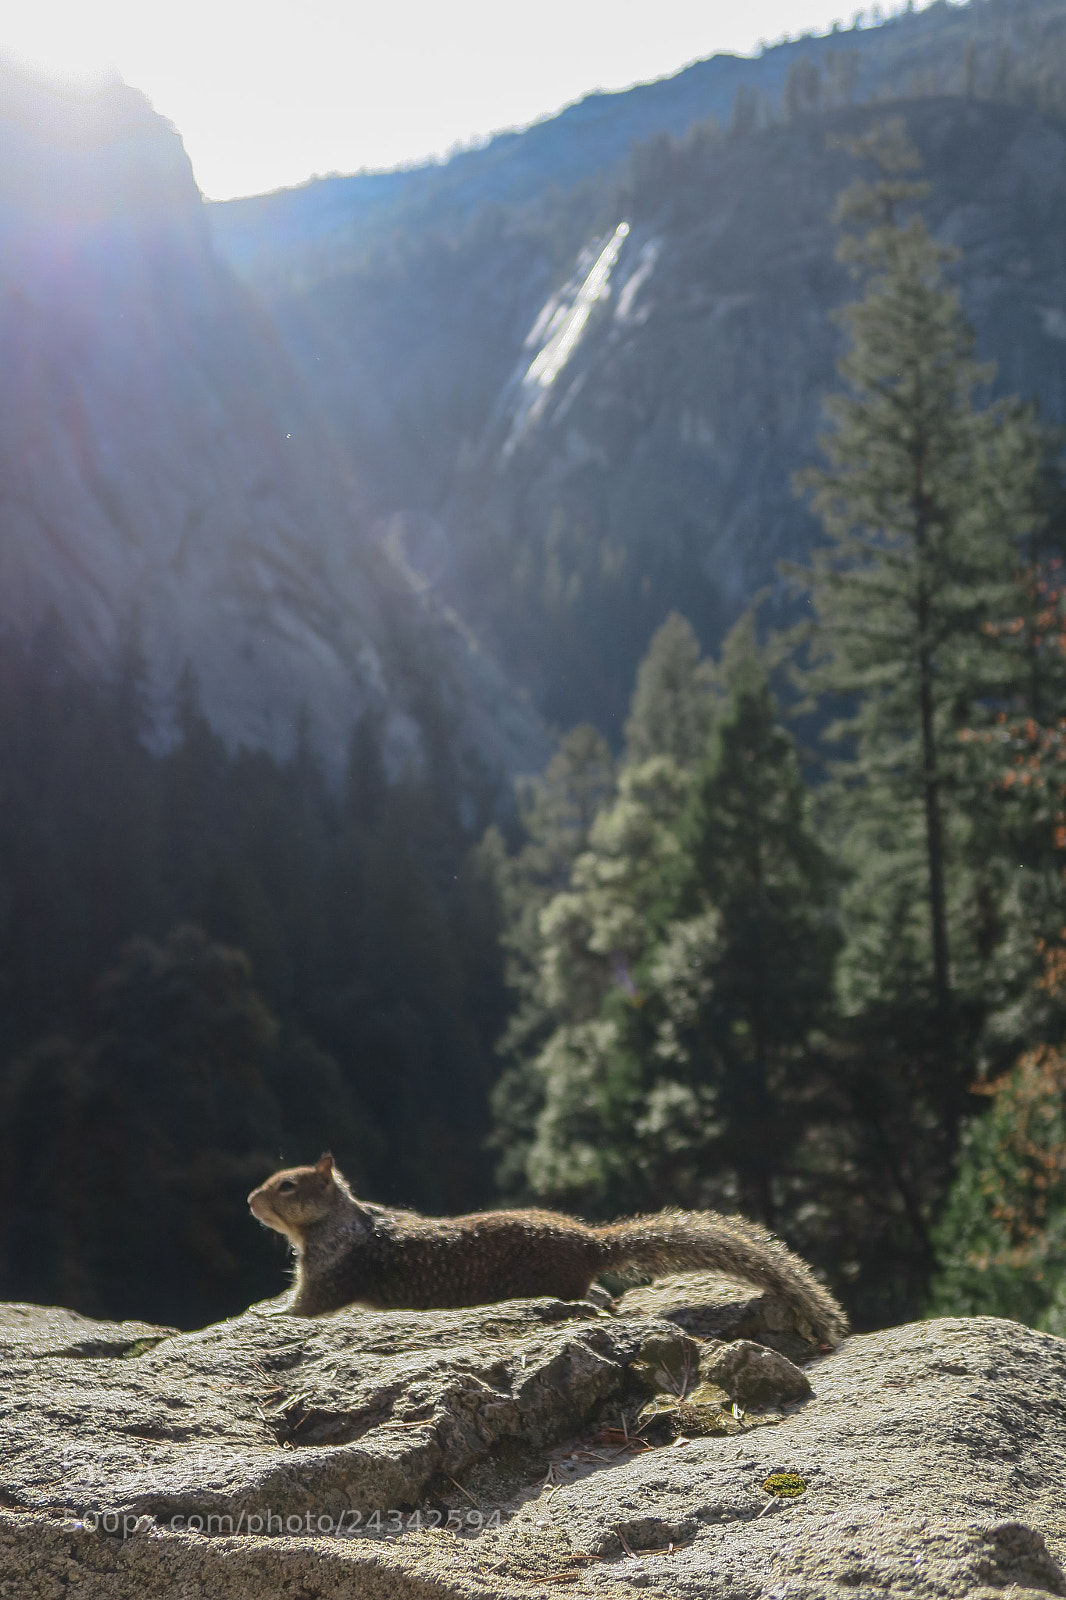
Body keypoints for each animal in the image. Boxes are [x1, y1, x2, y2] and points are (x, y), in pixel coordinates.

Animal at [248, 1153, 848, 1347]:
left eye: (287, 1186)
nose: (250, 1199)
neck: (336, 1223)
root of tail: (591, 1243)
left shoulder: (329, 1276)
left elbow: (303, 1309)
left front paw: (267, 1315)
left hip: (557, 1280)